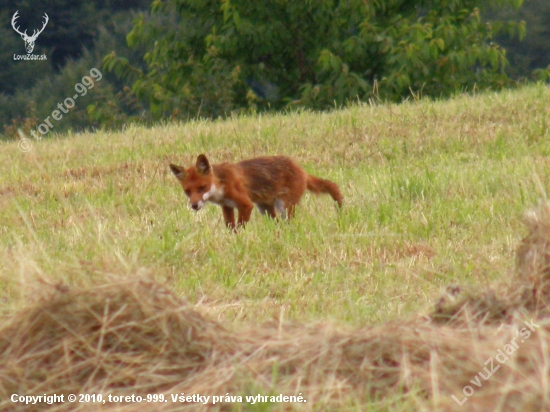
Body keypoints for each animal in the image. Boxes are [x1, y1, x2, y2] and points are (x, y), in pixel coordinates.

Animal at [170, 155, 342, 232]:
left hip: (283, 206)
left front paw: (239, 238)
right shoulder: (227, 206)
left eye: (202, 187)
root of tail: (302, 170)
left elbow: (240, 226)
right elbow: (230, 226)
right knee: (277, 222)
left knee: (289, 222)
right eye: (187, 192)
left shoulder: (245, 204)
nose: (194, 205)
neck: (221, 185)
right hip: (265, 209)